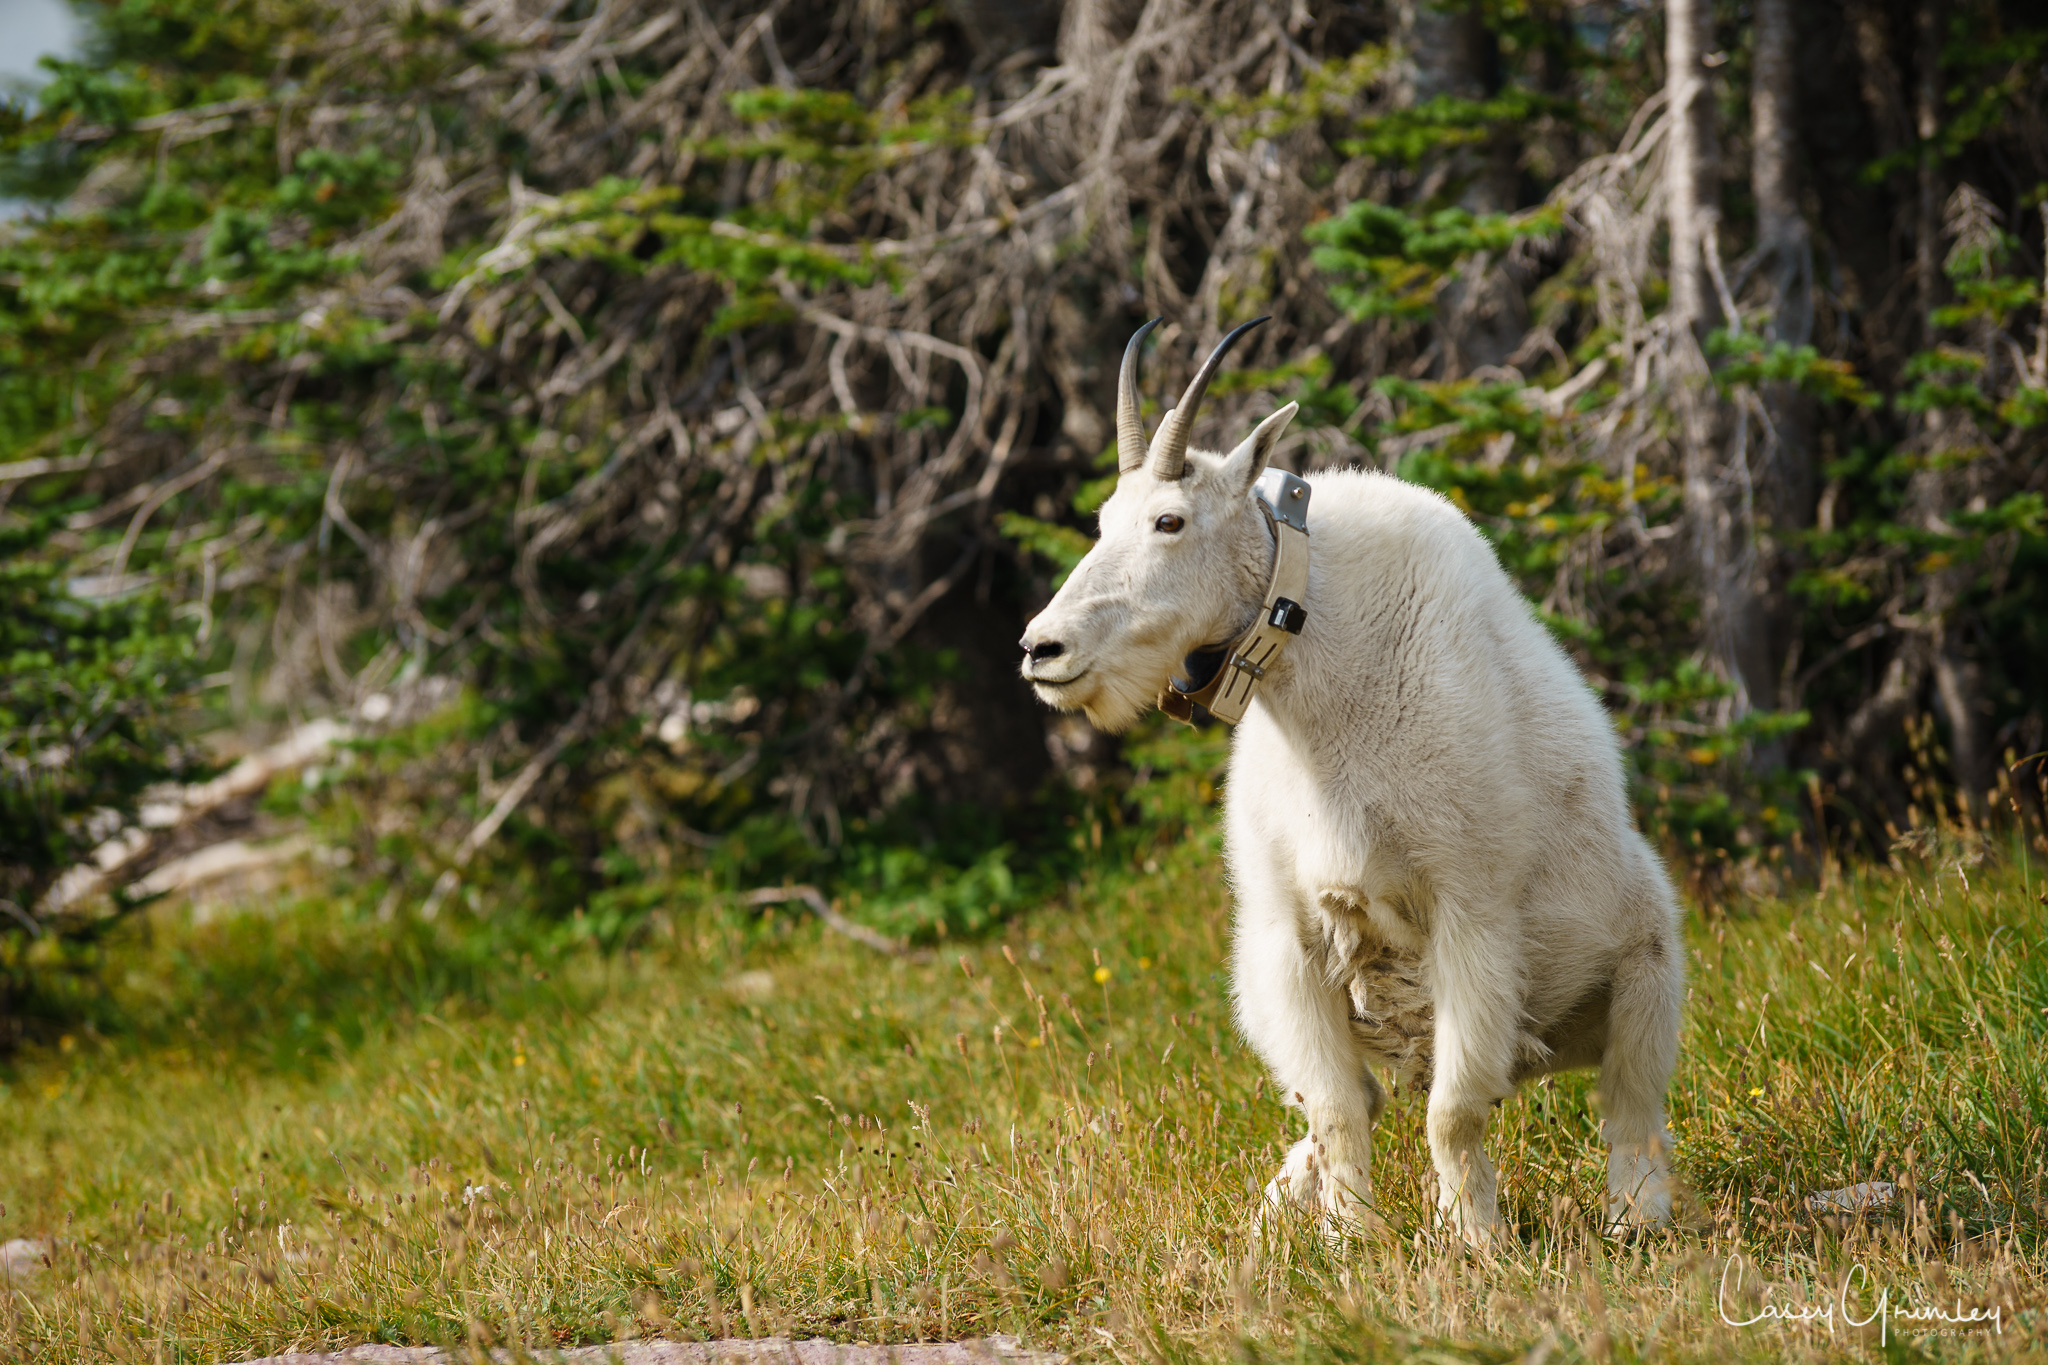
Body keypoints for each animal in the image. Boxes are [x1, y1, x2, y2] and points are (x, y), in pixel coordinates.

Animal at [1019, 323, 1679, 1252]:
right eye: (1102, 520)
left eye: (1169, 519)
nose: (1041, 649)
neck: (1321, 697)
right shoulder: (1286, 936)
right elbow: (1336, 1107)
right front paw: (1349, 1241)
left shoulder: (1473, 912)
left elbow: (1453, 1110)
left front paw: (1473, 1241)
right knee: (1345, 1099)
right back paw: (1276, 1206)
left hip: (1648, 959)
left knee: (1630, 1103)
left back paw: (1635, 1216)